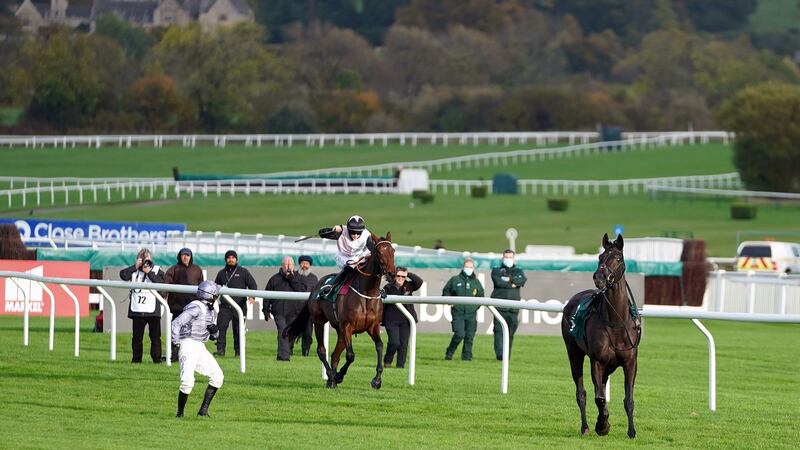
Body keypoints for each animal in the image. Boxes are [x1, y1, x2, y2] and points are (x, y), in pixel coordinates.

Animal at [282, 232, 396, 386]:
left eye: (393, 251)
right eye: (379, 252)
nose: (392, 274)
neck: (367, 292)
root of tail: (315, 287)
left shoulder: (373, 326)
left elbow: (379, 346)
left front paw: (377, 380)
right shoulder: (347, 326)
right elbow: (350, 355)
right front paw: (339, 375)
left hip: (340, 330)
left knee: (335, 354)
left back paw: (333, 377)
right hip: (319, 321)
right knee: (321, 350)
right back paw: (331, 377)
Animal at [564, 234, 644, 438]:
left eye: (618, 258)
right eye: (600, 257)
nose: (599, 277)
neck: (616, 322)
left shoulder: (630, 362)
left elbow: (628, 399)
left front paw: (631, 431)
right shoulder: (597, 361)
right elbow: (599, 398)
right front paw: (602, 425)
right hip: (574, 354)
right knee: (582, 393)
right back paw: (585, 427)